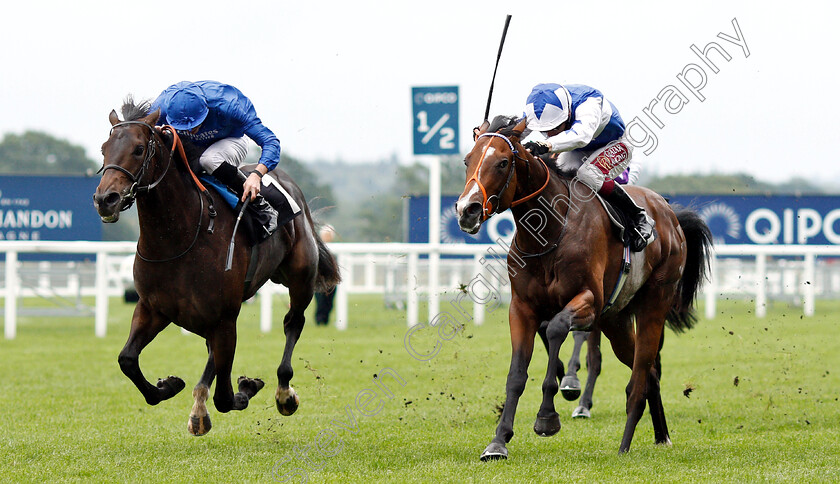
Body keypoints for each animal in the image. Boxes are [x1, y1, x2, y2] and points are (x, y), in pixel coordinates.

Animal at [93, 98, 340, 434]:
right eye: (104, 148)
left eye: (139, 149)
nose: (106, 199)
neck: (179, 238)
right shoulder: (153, 307)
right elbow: (127, 359)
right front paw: (169, 386)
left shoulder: (223, 317)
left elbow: (225, 396)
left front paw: (248, 386)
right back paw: (199, 406)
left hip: (299, 279)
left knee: (293, 322)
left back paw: (284, 392)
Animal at [456, 116, 712, 458]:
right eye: (468, 160)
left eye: (502, 162)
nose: (466, 210)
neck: (549, 233)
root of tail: (669, 214)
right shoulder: (522, 308)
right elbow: (517, 374)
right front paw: (498, 442)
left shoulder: (589, 301)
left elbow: (556, 329)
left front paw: (548, 415)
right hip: (616, 320)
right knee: (648, 372)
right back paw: (661, 435)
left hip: (654, 302)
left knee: (641, 374)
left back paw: (625, 445)